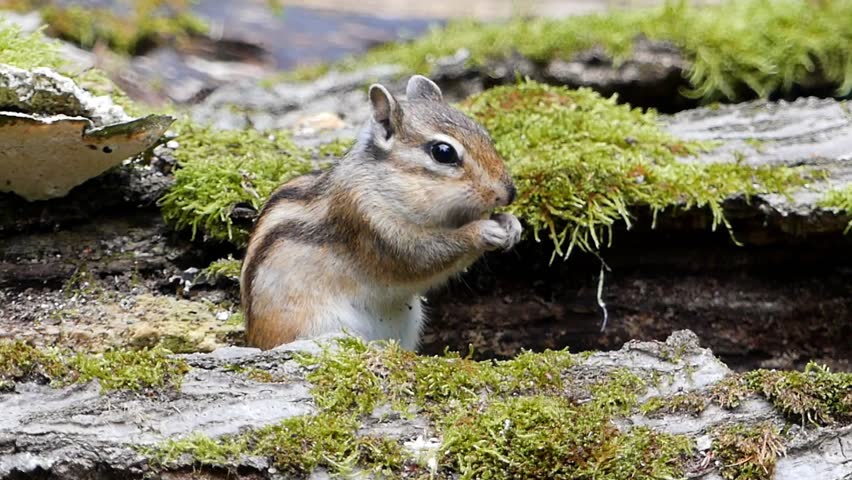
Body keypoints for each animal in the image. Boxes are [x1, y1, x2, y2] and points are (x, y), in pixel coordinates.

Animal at [240, 75, 522, 350]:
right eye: (443, 152)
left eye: (483, 133)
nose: (509, 193)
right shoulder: (372, 226)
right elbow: (424, 257)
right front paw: (482, 231)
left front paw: (511, 224)